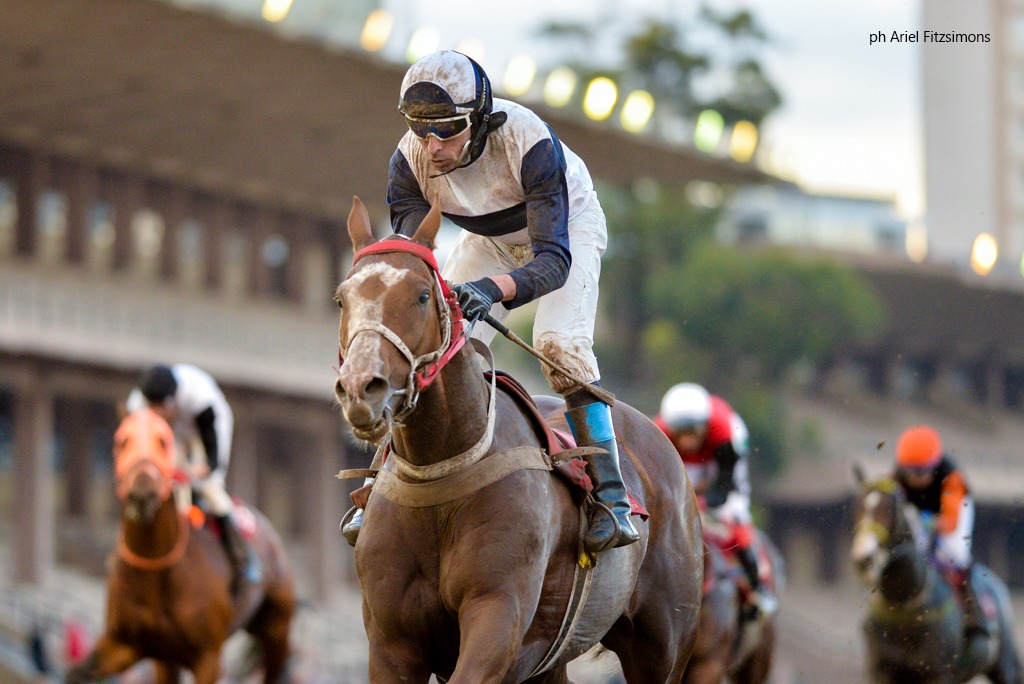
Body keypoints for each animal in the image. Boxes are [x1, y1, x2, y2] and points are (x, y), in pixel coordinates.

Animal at [66, 408, 297, 684]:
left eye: (163, 441)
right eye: (121, 441)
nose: (142, 492)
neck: (156, 569)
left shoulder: (208, 658)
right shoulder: (126, 644)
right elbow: (76, 672)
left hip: (277, 629)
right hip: (167, 658)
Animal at [333, 197, 704, 683]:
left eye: (422, 295)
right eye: (342, 298)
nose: (362, 388)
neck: (440, 473)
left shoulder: (498, 617)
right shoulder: (390, 641)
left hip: (664, 645)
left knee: (561, 348)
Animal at [850, 470, 1023, 684]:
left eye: (889, 509)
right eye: (857, 507)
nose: (863, 559)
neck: (904, 607)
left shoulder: (939, 673)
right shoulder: (880, 671)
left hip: (1005, 667)